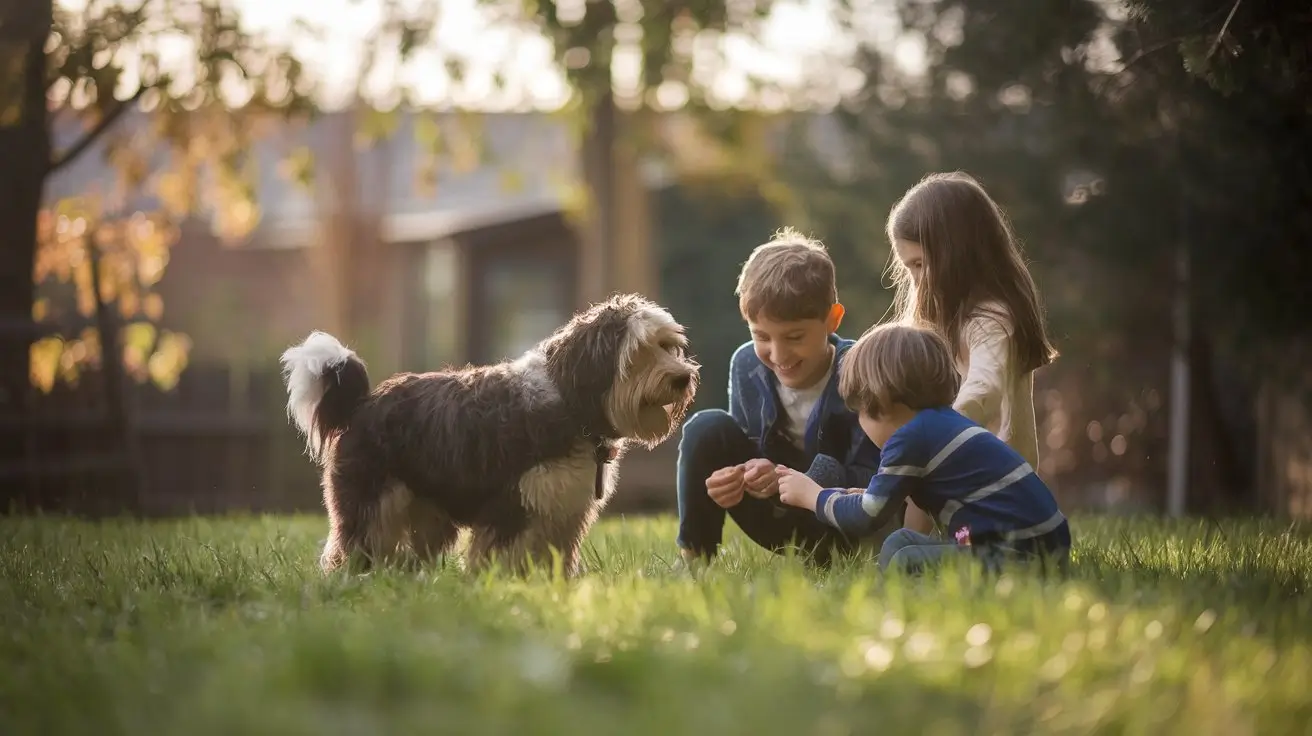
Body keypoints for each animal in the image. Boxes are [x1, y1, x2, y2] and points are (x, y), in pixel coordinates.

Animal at [279, 291, 697, 574]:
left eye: (668, 346)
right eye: (639, 351)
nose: (683, 378)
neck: (570, 400)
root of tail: (361, 402)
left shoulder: (561, 511)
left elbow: (555, 560)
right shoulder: (512, 504)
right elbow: (506, 558)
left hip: (426, 513)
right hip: (372, 503)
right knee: (352, 548)